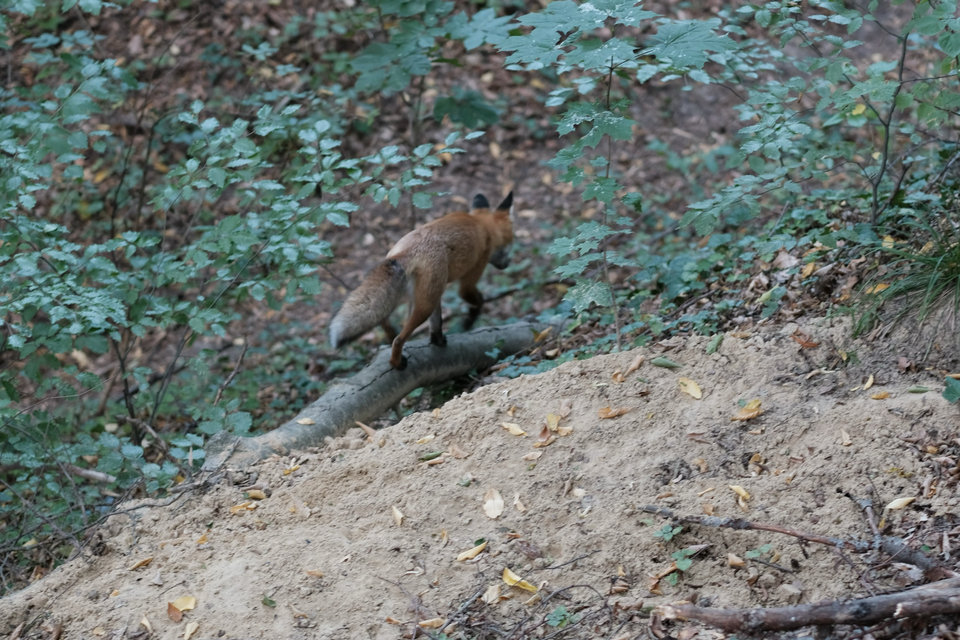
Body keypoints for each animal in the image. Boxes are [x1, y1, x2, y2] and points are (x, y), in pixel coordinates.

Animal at [329, 191, 514, 370]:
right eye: (509, 244)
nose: (508, 264)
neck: (481, 224)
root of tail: (405, 251)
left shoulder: (437, 293)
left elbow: (437, 322)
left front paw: (438, 340)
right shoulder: (471, 277)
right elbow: (479, 301)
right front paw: (469, 322)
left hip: (420, 295)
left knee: (393, 322)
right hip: (425, 305)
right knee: (398, 338)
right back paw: (396, 362)